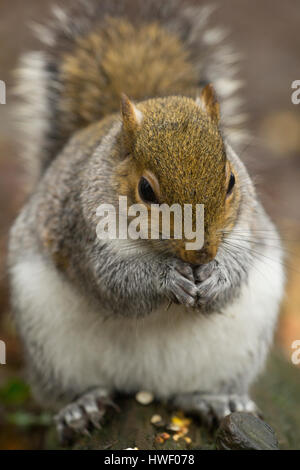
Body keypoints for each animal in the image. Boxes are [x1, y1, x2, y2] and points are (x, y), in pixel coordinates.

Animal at [8, 0, 284, 442]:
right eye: (146, 190)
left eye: (231, 181)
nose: (201, 254)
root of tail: (147, 385)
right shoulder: (82, 235)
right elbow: (116, 284)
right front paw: (167, 279)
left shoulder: (250, 226)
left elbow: (240, 267)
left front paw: (218, 276)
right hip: (49, 342)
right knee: (72, 389)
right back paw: (81, 407)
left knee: (192, 390)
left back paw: (214, 400)